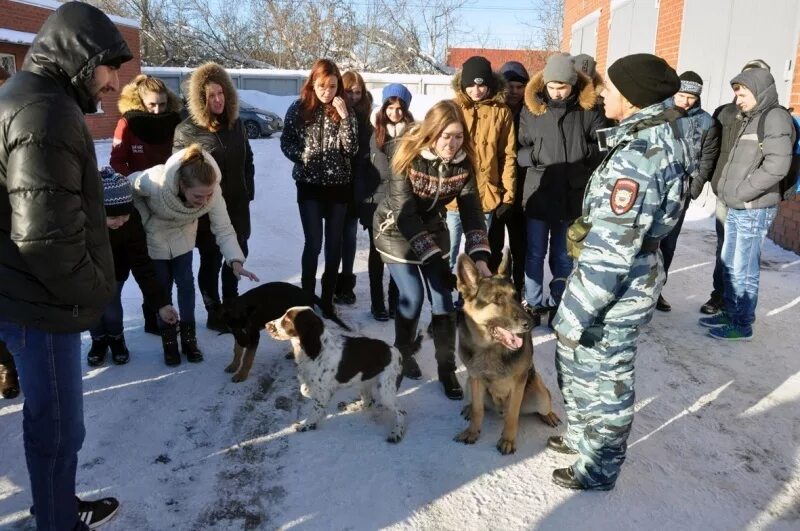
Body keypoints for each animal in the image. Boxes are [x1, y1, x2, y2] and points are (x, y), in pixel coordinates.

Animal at [216, 282, 350, 382]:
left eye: (247, 327)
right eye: (233, 329)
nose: (245, 344)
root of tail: (306, 293)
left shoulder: (253, 336)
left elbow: (247, 358)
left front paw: (241, 375)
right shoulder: (239, 336)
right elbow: (237, 350)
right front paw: (234, 365)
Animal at [454, 251, 560, 456]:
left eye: (516, 296)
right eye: (497, 299)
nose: (531, 323)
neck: (489, 348)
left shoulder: (518, 384)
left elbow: (512, 415)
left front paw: (508, 440)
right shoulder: (475, 378)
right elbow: (478, 410)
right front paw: (472, 431)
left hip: (540, 395)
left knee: (544, 405)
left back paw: (549, 415)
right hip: (469, 384)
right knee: (477, 404)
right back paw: (469, 408)